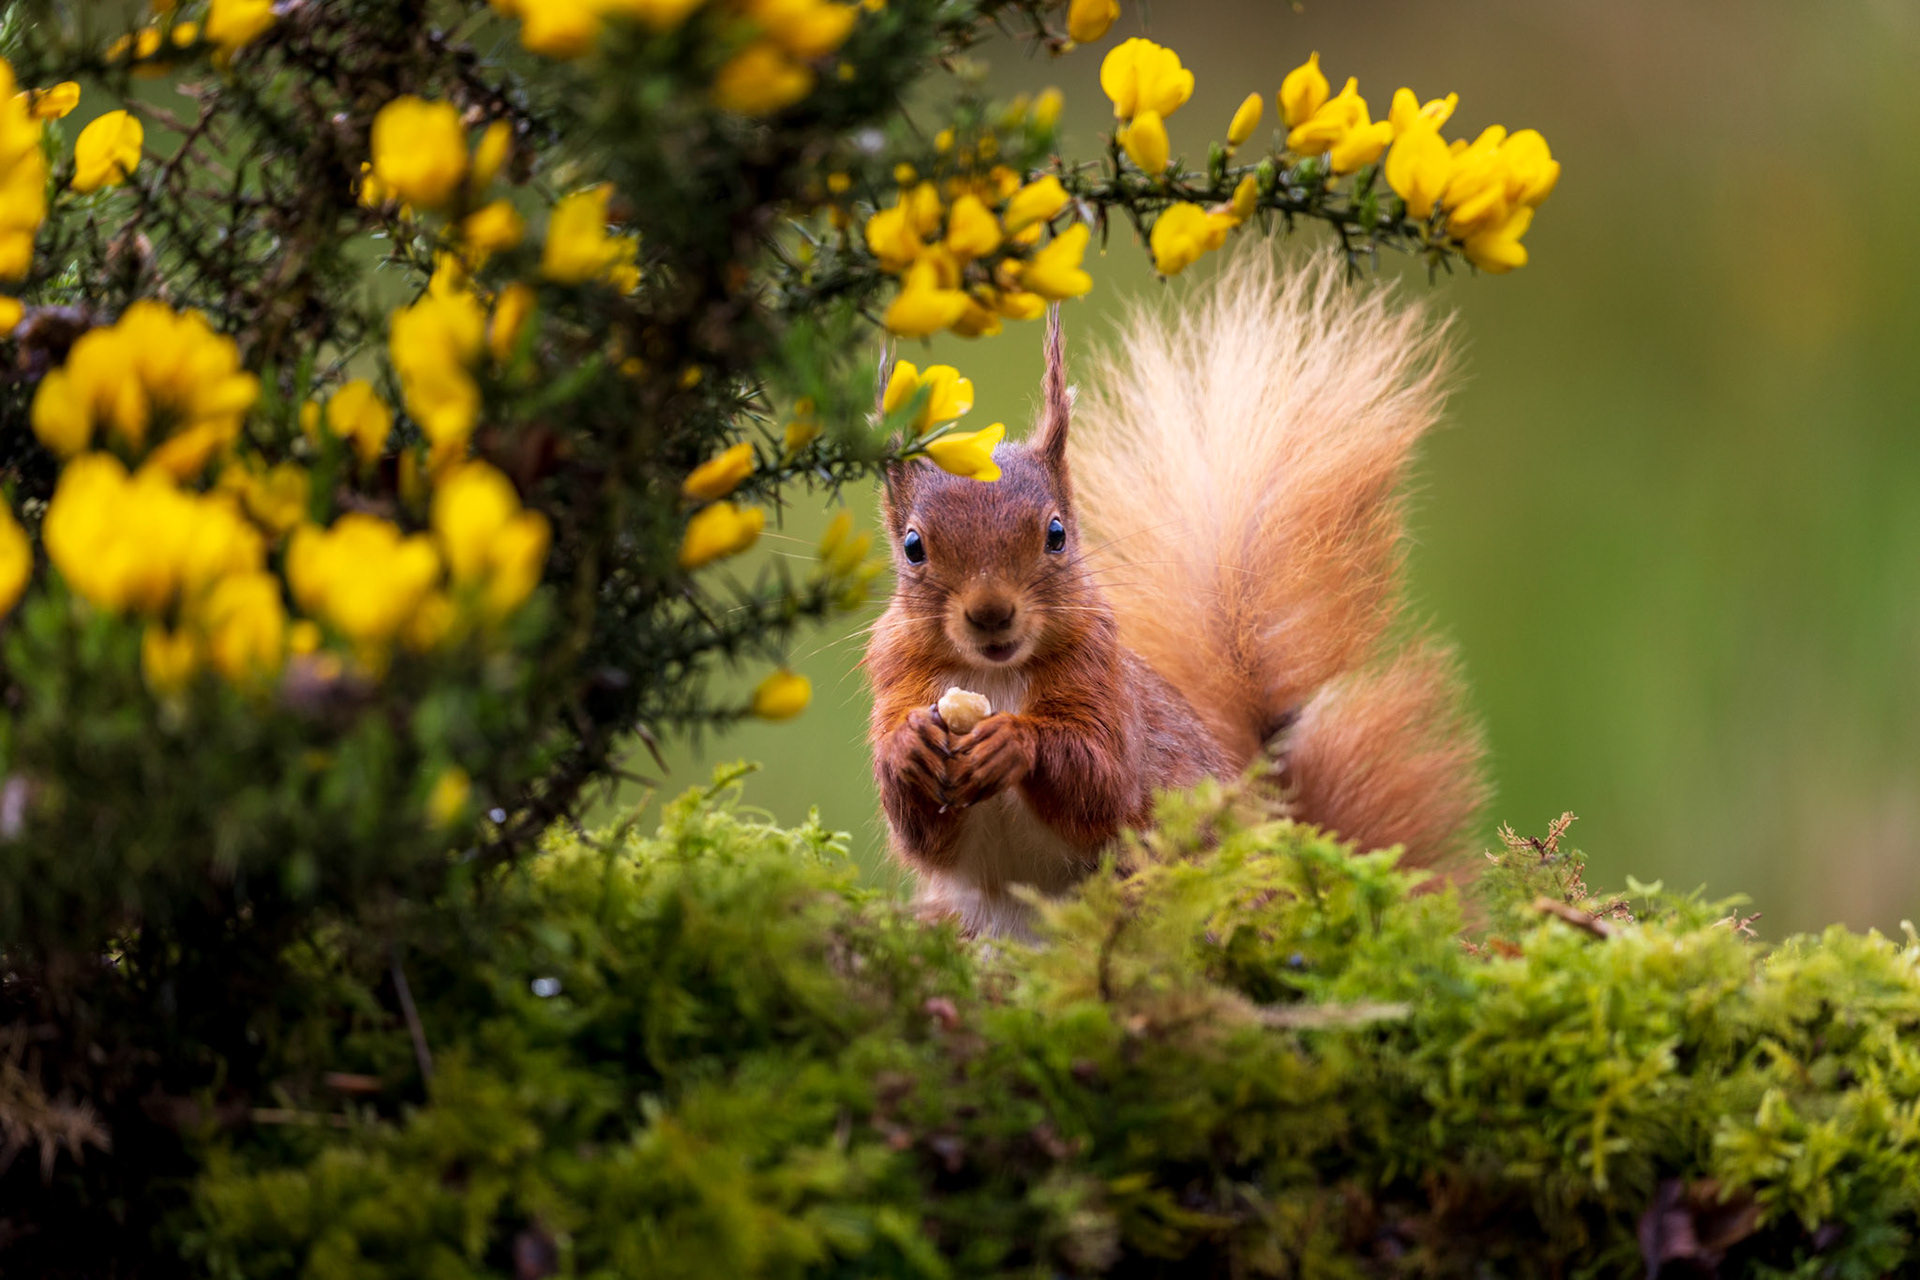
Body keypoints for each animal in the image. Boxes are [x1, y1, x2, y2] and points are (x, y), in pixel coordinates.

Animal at [866, 250, 1487, 937]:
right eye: (913, 547)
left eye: (1056, 534)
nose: (991, 614)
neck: (993, 677)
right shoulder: (899, 677)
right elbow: (917, 832)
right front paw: (908, 747)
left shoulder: (1104, 687)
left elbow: (1101, 783)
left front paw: (1013, 743)